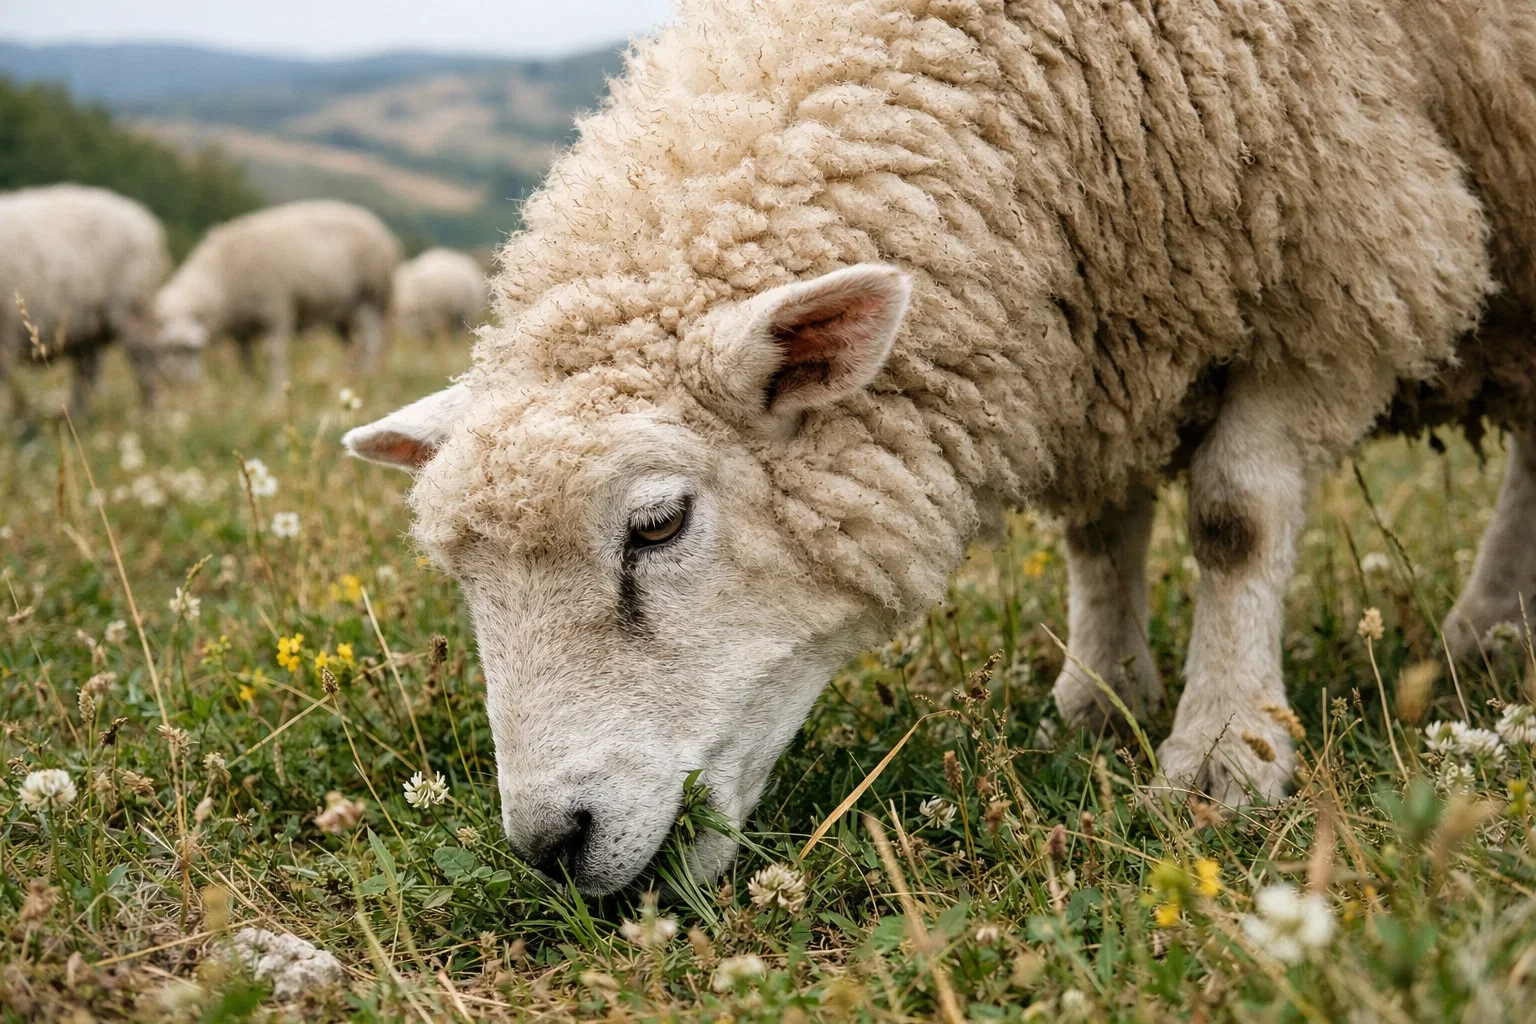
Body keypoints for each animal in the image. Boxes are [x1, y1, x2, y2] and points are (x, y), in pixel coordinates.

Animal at [0, 184, 171, 416]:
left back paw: (148, 415)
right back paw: (75, 415)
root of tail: (142, 216)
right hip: (87, 326)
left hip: (134, 309)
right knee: (87, 372)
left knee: (146, 363)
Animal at [155, 200, 401, 388]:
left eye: (188, 349)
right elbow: (244, 357)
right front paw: (248, 386)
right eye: (166, 348)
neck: (221, 278)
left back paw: (367, 375)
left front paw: (274, 392)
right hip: (342, 311)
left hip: (371, 295)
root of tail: (382, 230)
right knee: (349, 344)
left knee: (372, 340)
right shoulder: (241, 326)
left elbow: (273, 354)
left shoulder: (276, 310)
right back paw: (346, 375)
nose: (179, 384)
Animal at [344, 0, 1536, 893]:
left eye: (659, 523)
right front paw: (1097, 702)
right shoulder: (1100, 336)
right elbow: (1099, 534)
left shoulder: (1358, 265)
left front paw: (1224, 753)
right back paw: (1489, 634)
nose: (554, 847)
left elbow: (1234, 516)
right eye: (466, 579)